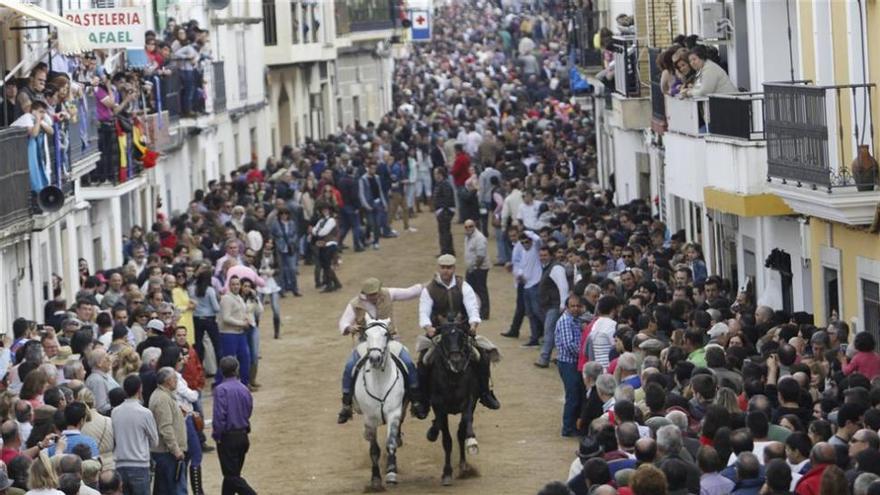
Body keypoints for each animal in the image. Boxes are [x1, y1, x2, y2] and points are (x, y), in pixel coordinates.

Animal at [352, 318, 408, 492]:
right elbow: (374, 450)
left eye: (385, 334)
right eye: (366, 334)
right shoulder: (370, 419)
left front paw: (391, 474)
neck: (379, 382)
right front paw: (376, 480)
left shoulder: (394, 413)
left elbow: (390, 443)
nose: (375, 358)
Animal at [426, 322, 482, 488]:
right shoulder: (439, 406)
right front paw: (447, 473)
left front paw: (472, 443)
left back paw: (464, 465)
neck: (453, 377)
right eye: (444, 337)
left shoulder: (470, 401)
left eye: (462, 336)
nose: (456, 360)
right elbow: (446, 440)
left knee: (460, 432)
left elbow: (464, 428)